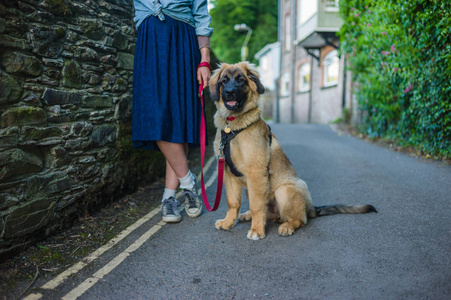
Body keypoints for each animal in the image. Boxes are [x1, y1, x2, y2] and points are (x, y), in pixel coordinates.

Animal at [209, 62, 378, 240]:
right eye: (224, 81)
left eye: (241, 80)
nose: (229, 92)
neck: (232, 127)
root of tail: (310, 207)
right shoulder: (228, 173)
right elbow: (233, 202)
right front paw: (228, 223)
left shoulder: (255, 172)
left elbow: (257, 205)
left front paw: (257, 230)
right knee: (271, 215)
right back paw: (248, 215)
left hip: (284, 190)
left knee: (300, 219)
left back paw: (287, 226)